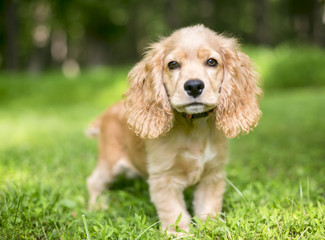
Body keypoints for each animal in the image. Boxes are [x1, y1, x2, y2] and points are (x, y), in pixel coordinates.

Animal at [85, 24, 260, 234]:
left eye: (212, 62)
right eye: (173, 64)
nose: (194, 86)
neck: (194, 126)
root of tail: (106, 113)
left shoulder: (212, 174)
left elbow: (208, 206)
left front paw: (211, 228)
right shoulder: (164, 178)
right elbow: (174, 212)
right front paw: (179, 233)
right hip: (109, 163)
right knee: (93, 182)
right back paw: (97, 206)